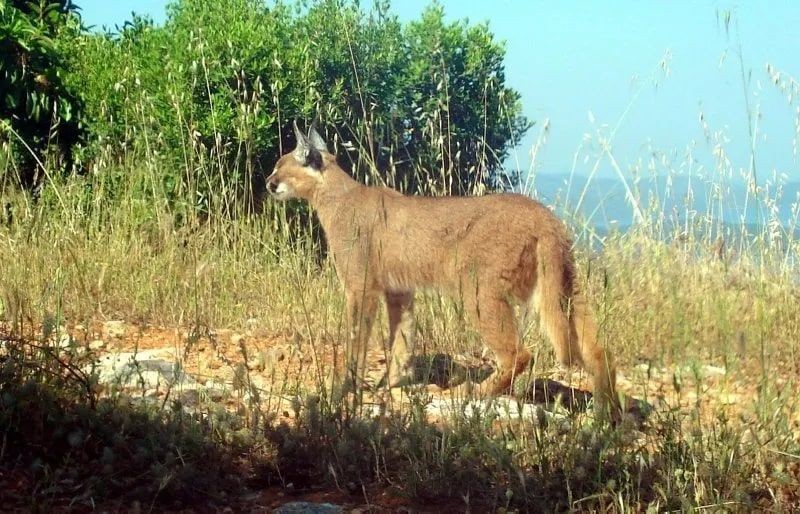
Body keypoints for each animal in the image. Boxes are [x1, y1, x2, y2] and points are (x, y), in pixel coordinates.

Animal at [268, 122, 620, 414]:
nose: (268, 182)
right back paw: (606, 416)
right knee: (598, 350)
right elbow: (402, 340)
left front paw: (344, 386)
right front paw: (391, 384)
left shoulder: (360, 287)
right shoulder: (399, 291)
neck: (337, 196)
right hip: (565, 288)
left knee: (519, 353)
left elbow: (356, 339)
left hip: (478, 290)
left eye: (279, 167)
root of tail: (545, 216)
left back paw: (474, 391)